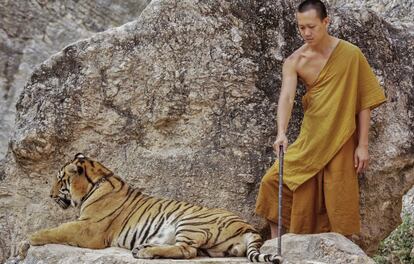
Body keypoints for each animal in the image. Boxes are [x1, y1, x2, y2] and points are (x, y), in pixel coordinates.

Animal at [17, 154, 282, 262]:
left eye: (60, 180)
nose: (50, 195)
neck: (98, 180)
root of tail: (249, 228)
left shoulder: (90, 229)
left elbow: (56, 229)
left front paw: (27, 241)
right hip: (213, 248)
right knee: (187, 250)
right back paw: (145, 248)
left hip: (191, 221)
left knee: (187, 251)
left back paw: (144, 252)